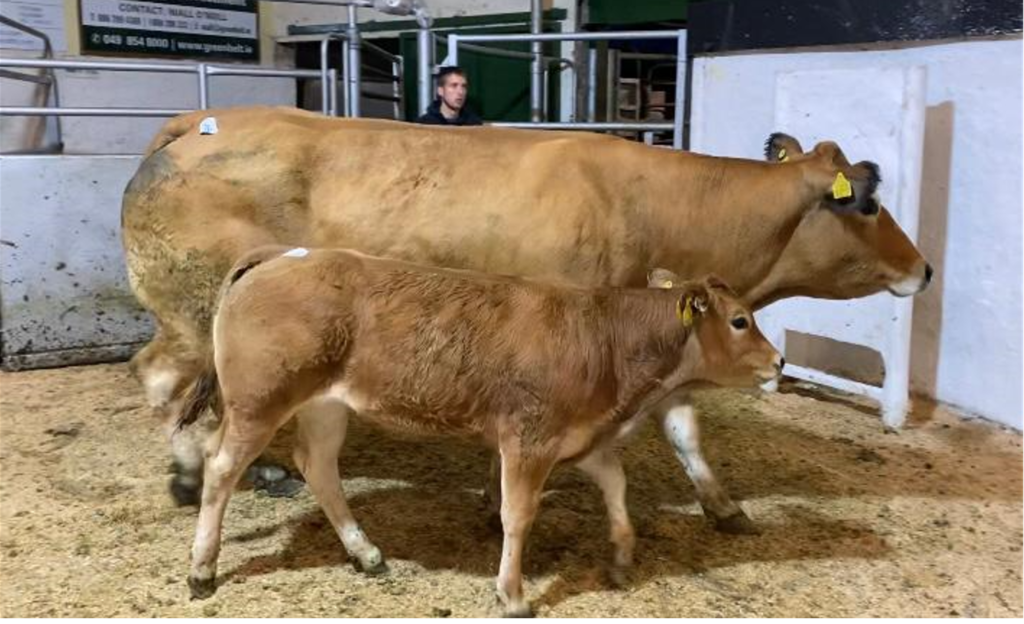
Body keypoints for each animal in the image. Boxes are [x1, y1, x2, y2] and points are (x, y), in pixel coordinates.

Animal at [120, 106, 932, 532]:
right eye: (866, 200)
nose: (924, 269)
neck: (654, 207)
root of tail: (199, 124)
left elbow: (684, 428)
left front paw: (724, 507)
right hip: (193, 317)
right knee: (161, 379)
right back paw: (189, 475)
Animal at [175, 245, 784, 616]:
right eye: (740, 320)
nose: (779, 362)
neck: (604, 338)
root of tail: (283, 252)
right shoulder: (528, 440)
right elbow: (518, 516)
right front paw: (513, 595)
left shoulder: (579, 437)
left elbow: (616, 485)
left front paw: (621, 556)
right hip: (259, 401)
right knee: (221, 468)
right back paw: (202, 569)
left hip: (325, 405)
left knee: (319, 467)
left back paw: (365, 552)